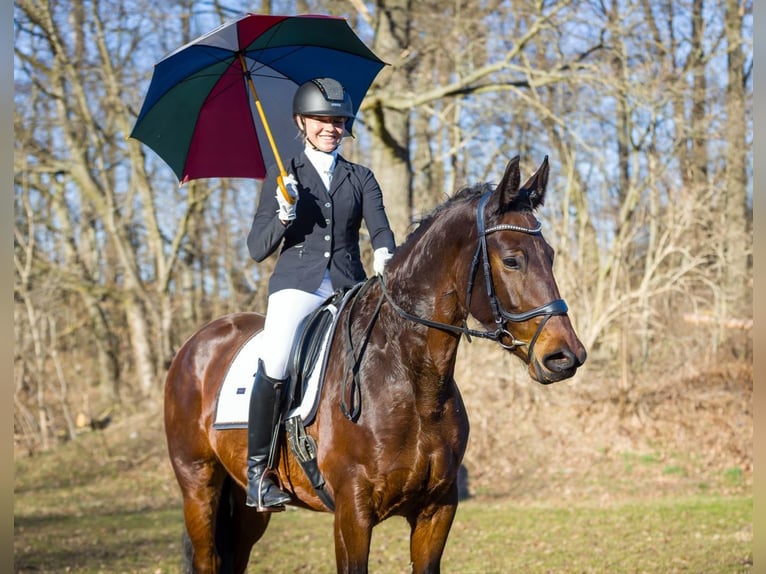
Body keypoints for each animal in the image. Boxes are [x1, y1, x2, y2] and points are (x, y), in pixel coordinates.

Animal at [163, 156, 587, 573]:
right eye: (512, 260)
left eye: (550, 256)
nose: (566, 356)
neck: (410, 380)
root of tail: (195, 344)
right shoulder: (352, 513)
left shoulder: (437, 510)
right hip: (198, 486)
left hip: (247, 509)